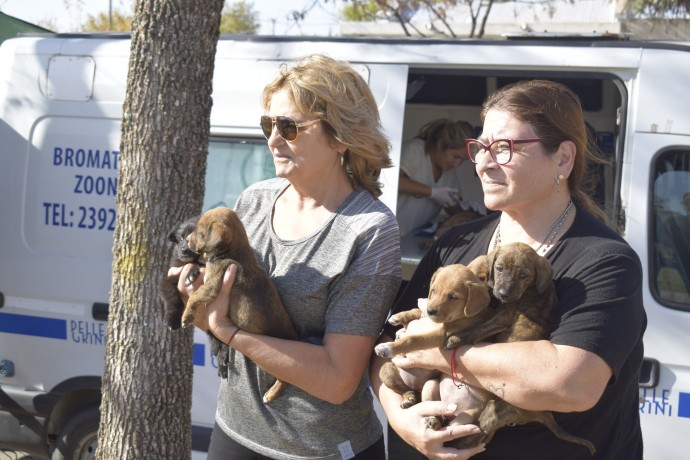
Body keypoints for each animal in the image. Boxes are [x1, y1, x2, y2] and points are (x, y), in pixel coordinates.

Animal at [183, 206, 298, 402]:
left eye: (199, 232)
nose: (186, 242)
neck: (234, 250)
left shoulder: (212, 286)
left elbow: (194, 296)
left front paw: (186, 316)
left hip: (273, 362)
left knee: (285, 379)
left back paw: (271, 394)